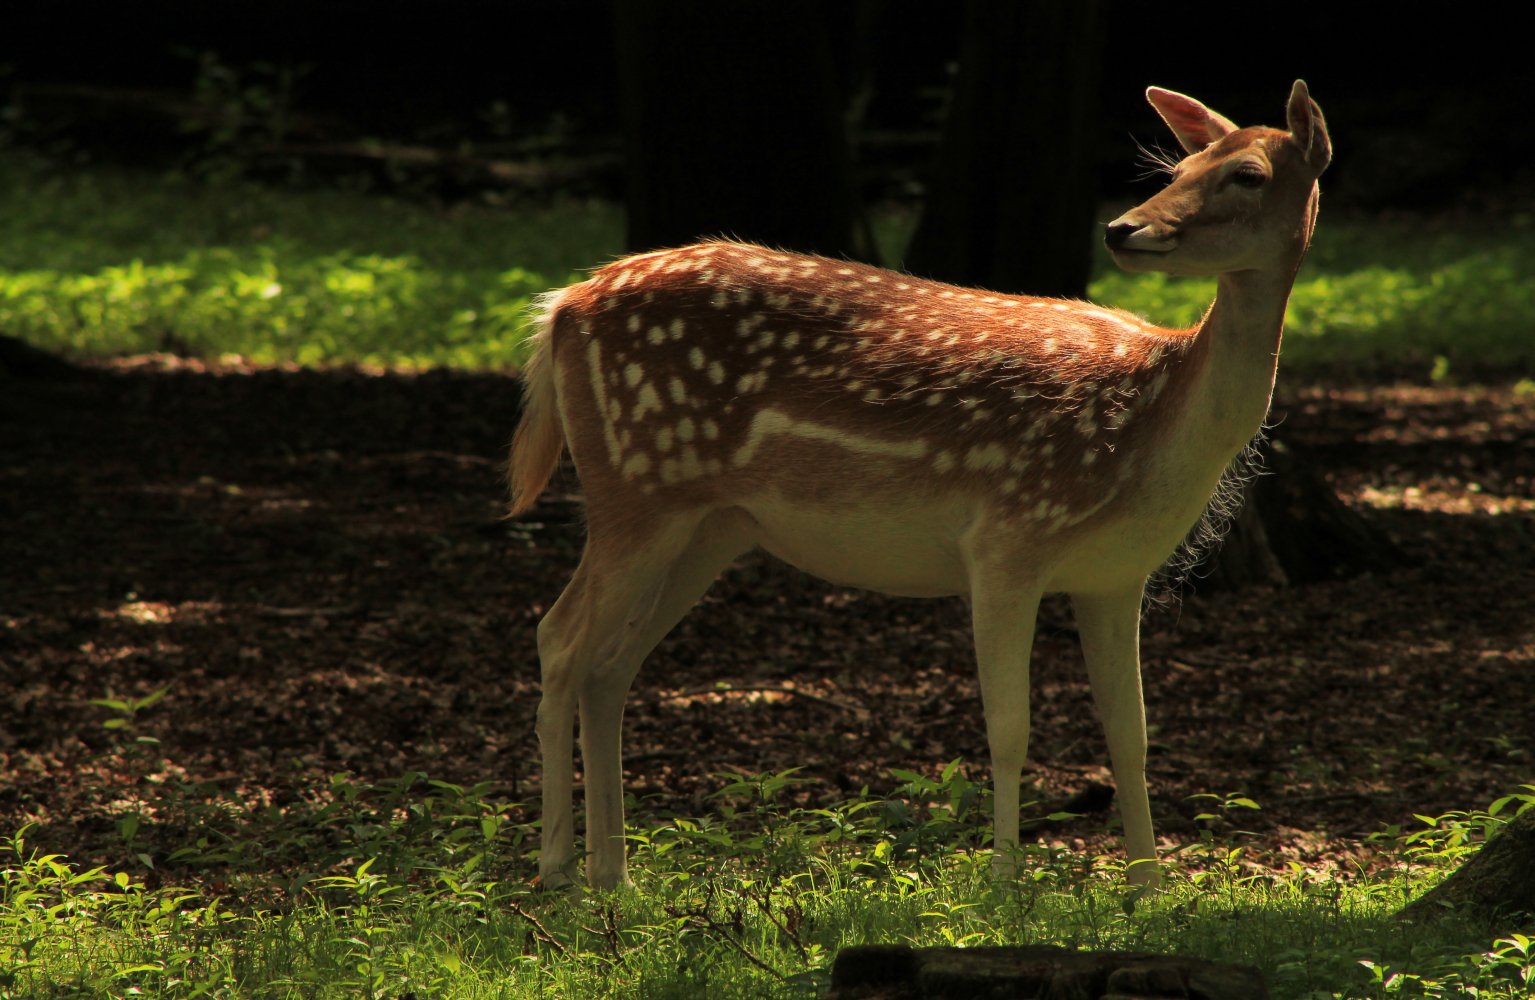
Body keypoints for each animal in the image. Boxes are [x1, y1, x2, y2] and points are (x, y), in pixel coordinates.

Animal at [509, 80, 1326, 890]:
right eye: (1177, 168)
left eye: (1245, 173)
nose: (1122, 229)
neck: (1153, 424)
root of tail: (561, 309)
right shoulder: (1005, 539)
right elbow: (1009, 730)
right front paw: (1003, 888)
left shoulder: (1116, 575)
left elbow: (1132, 736)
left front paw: (1149, 892)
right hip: (632, 489)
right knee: (558, 637)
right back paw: (555, 870)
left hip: (710, 526)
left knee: (609, 667)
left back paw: (614, 877)